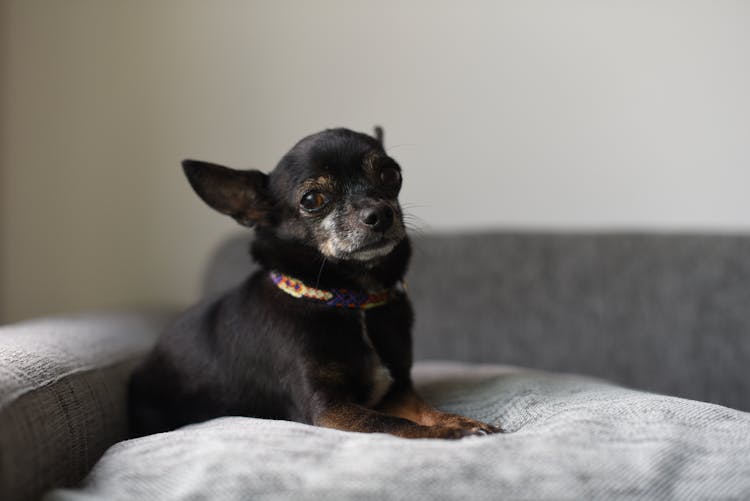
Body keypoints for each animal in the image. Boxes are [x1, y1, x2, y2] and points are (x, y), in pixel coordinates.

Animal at [129, 128, 502, 438]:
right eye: (311, 200)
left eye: (390, 174)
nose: (381, 213)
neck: (350, 298)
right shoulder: (330, 409)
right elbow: (392, 424)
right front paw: (449, 433)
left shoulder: (396, 389)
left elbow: (423, 410)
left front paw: (459, 421)